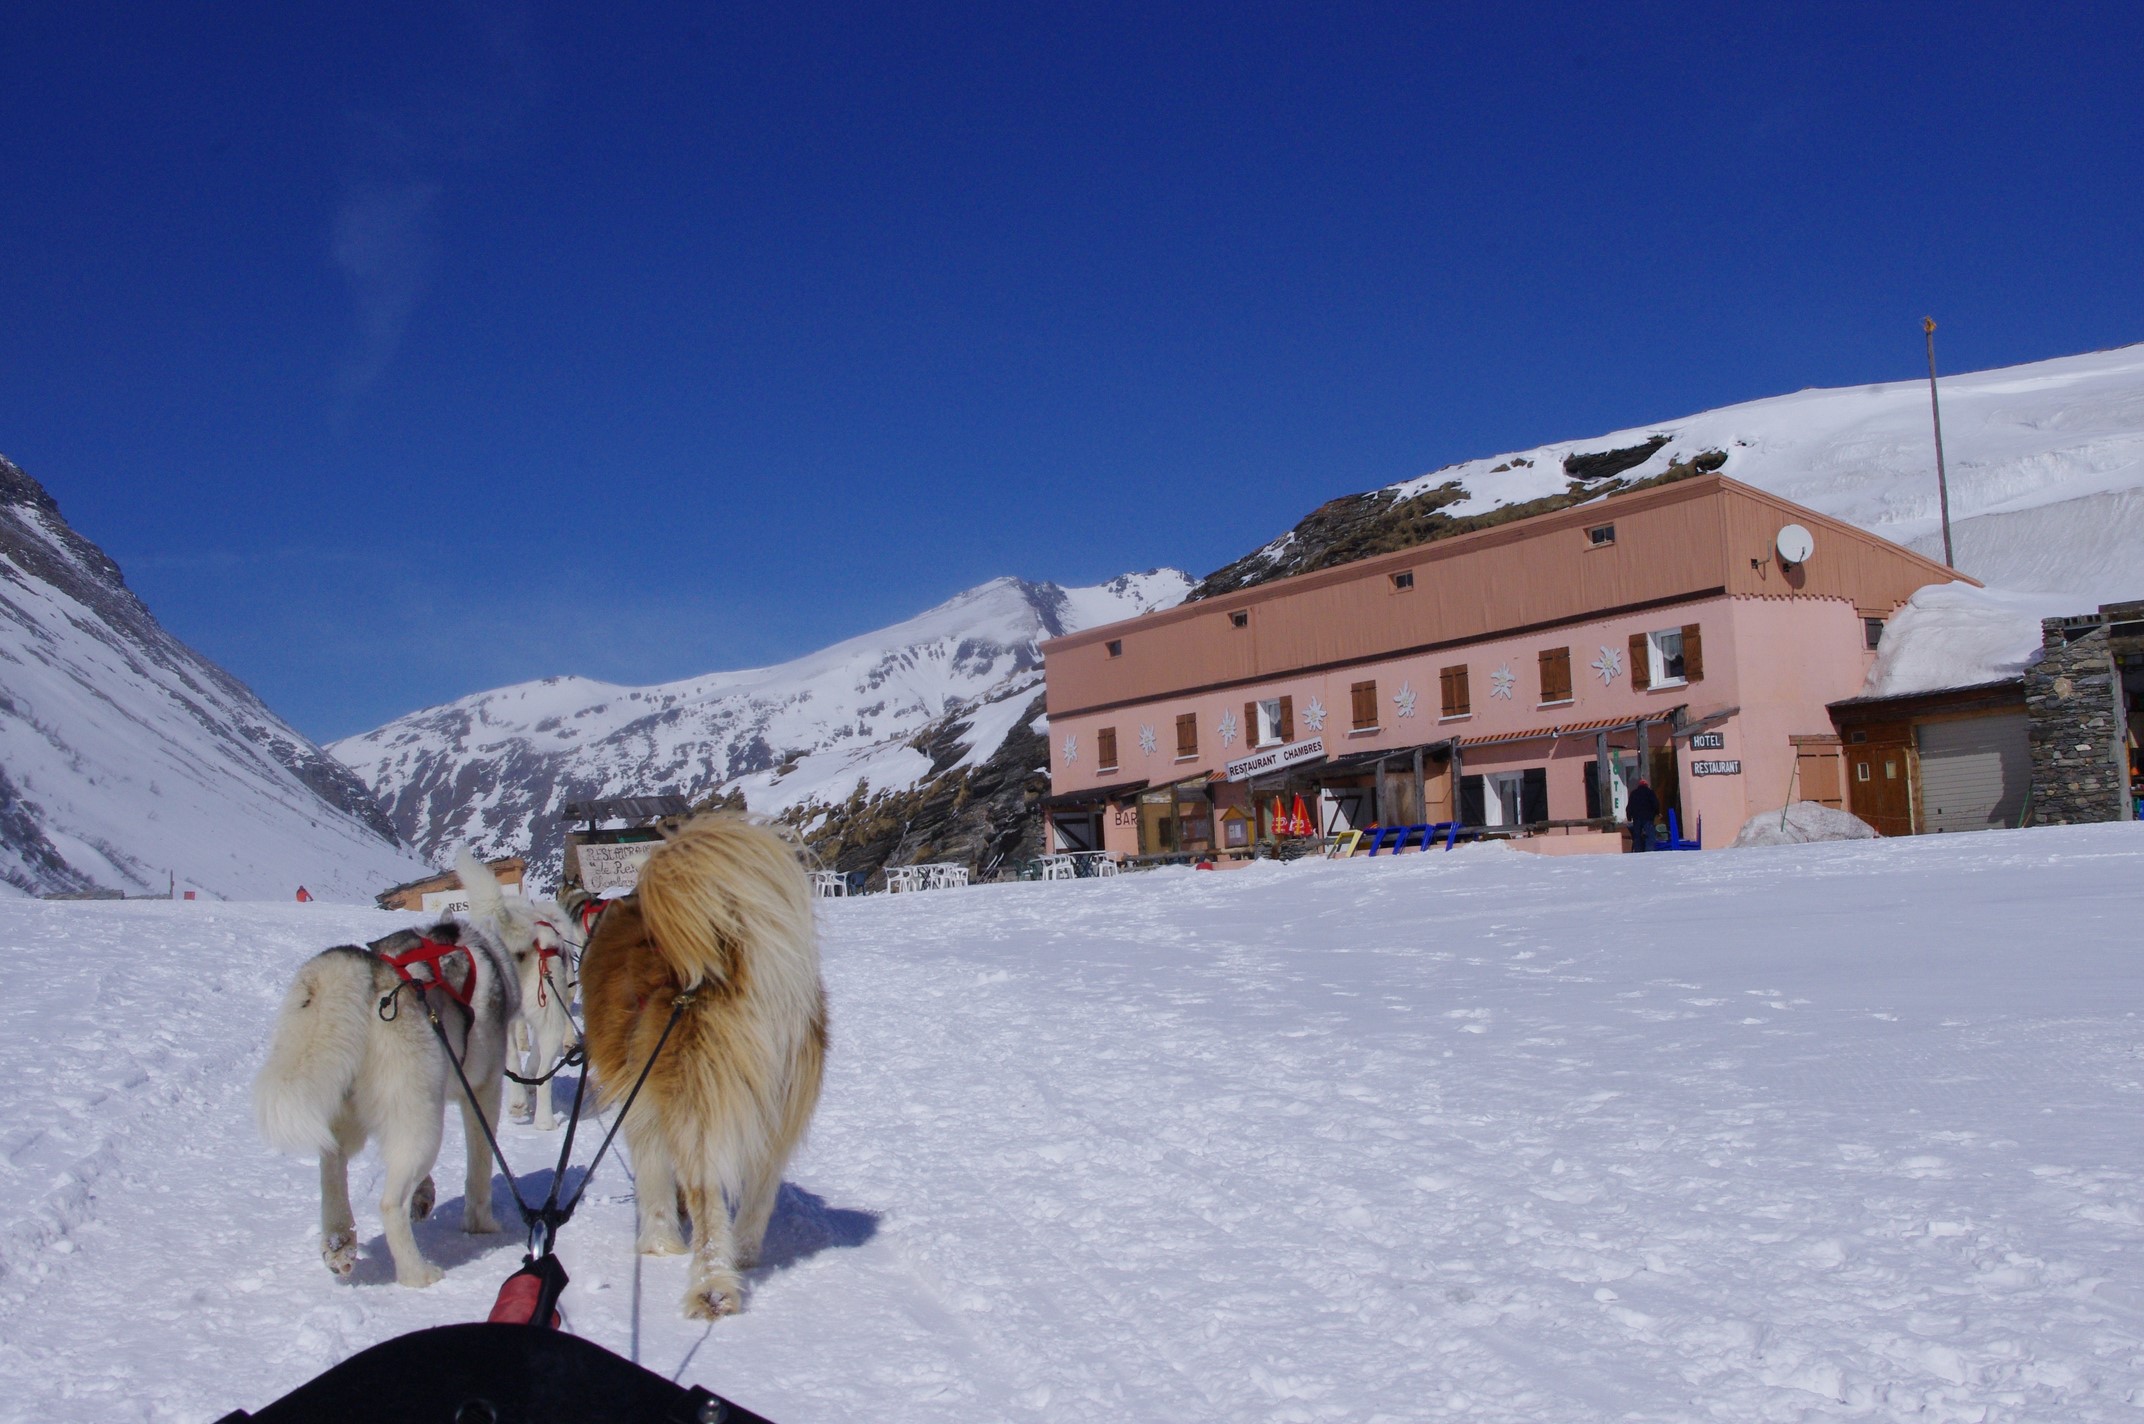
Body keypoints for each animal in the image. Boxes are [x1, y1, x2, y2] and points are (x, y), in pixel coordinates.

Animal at [249, 857, 527, 1286]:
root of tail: (369, 973)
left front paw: (425, 1195)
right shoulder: (482, 1090)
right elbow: (480, 1167)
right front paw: (481, 1224)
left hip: (366, 1114)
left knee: (332, 1164)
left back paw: (339, 1242)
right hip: (421, 1121)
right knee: (389, 1203)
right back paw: (417, 1273)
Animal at [578, 819, 827, 1321]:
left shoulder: (640, 1103)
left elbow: (654, 1178)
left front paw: (658, 1243)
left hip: (699, 1112)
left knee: (708, 1199)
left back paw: (712, 1288)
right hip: (778, 1115)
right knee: (760, 1192)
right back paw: (743, 1258)